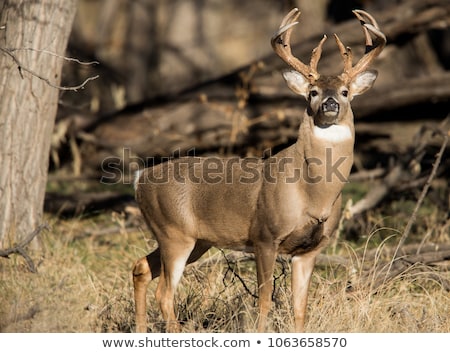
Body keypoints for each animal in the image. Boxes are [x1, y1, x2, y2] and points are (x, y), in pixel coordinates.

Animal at [132, 8, 384, 332]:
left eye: (344, 91)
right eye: (312, 92)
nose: (329, 102)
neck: (313, 194)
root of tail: (139, 180)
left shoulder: (310, 249)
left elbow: (300, 308)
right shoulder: (265, 235)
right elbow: (264, 301)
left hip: (196, 240)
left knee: (140, 268)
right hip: (174, 232)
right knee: (164, 293)